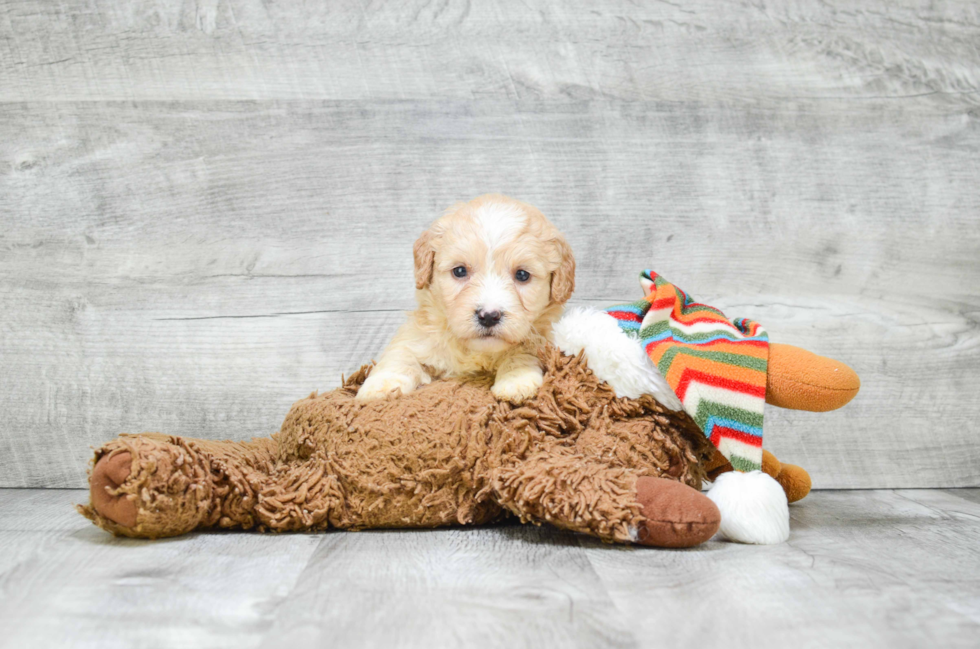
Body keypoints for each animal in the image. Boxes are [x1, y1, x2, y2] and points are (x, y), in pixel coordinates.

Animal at [354, 195, 576, 402]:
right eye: (460, 271)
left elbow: (524, 350)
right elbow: (401, 353)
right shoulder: (419, 333)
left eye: (522, 275)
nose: (488, 316)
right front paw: (382, 385)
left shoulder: (543, 338)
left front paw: (517, 379)